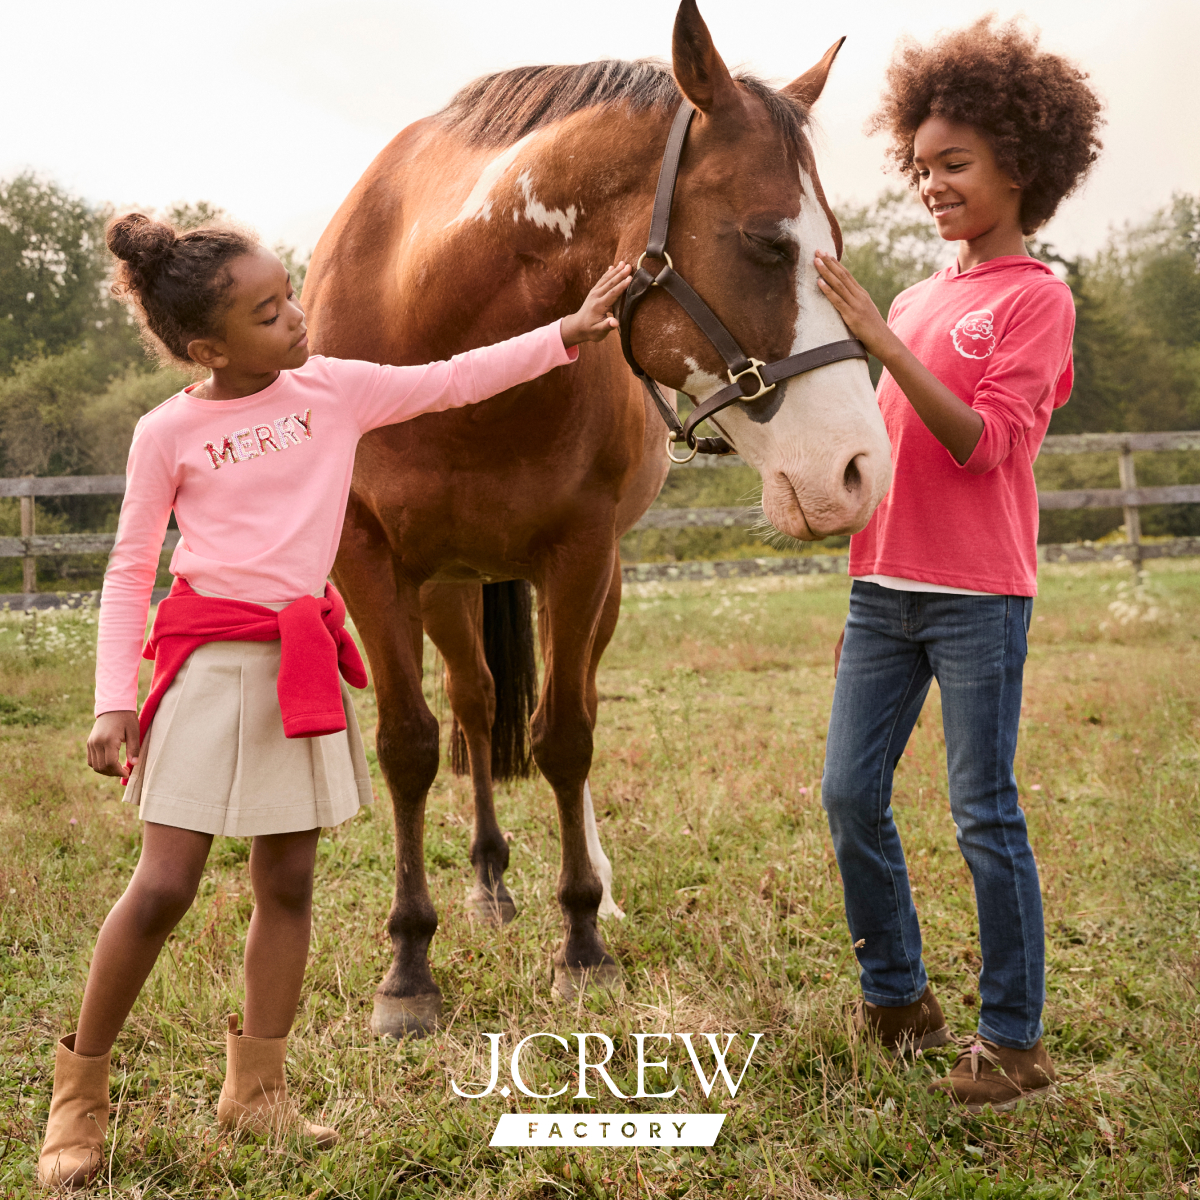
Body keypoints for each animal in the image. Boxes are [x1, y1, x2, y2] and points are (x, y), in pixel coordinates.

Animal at [302, 0, 892, 1036]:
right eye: (764, 242)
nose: (858, 472)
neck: (431, 321)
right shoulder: (366, 558)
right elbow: (410, 745)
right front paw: (408, 967)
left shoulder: (577, 556)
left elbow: (566, 736)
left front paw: (581, 942)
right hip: (447, 585)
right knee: (475, 702)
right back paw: (488, 880)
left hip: (587, 583)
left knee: (553, 711)